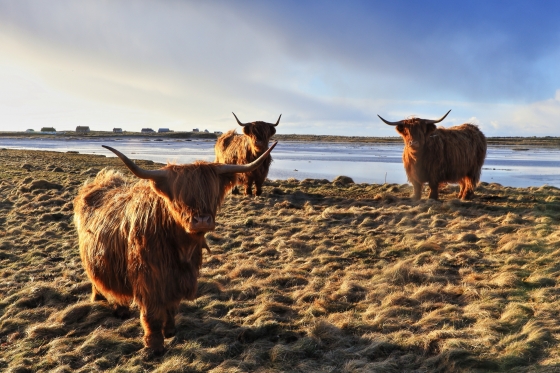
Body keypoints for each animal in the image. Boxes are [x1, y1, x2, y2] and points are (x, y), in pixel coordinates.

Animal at [72, 142, 278, 352]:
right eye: (180, 197)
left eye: (211, 193)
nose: (201, 220)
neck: (181, 247)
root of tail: (100, 181)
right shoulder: (149, 277)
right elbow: (152, 314)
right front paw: (154, 345)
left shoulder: (179, 277)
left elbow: (171, 306)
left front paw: (170, 330)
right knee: (97, 279)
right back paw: (106, 302)